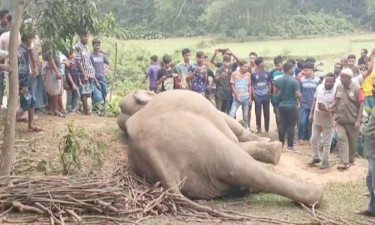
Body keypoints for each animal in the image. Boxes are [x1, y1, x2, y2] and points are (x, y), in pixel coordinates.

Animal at [117, 89, 324, 204]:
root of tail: (152, 153)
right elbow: (234, 133)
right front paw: (270, 144)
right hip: (202, 140)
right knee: (242, 164)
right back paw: (315, 193)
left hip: (198, 180)